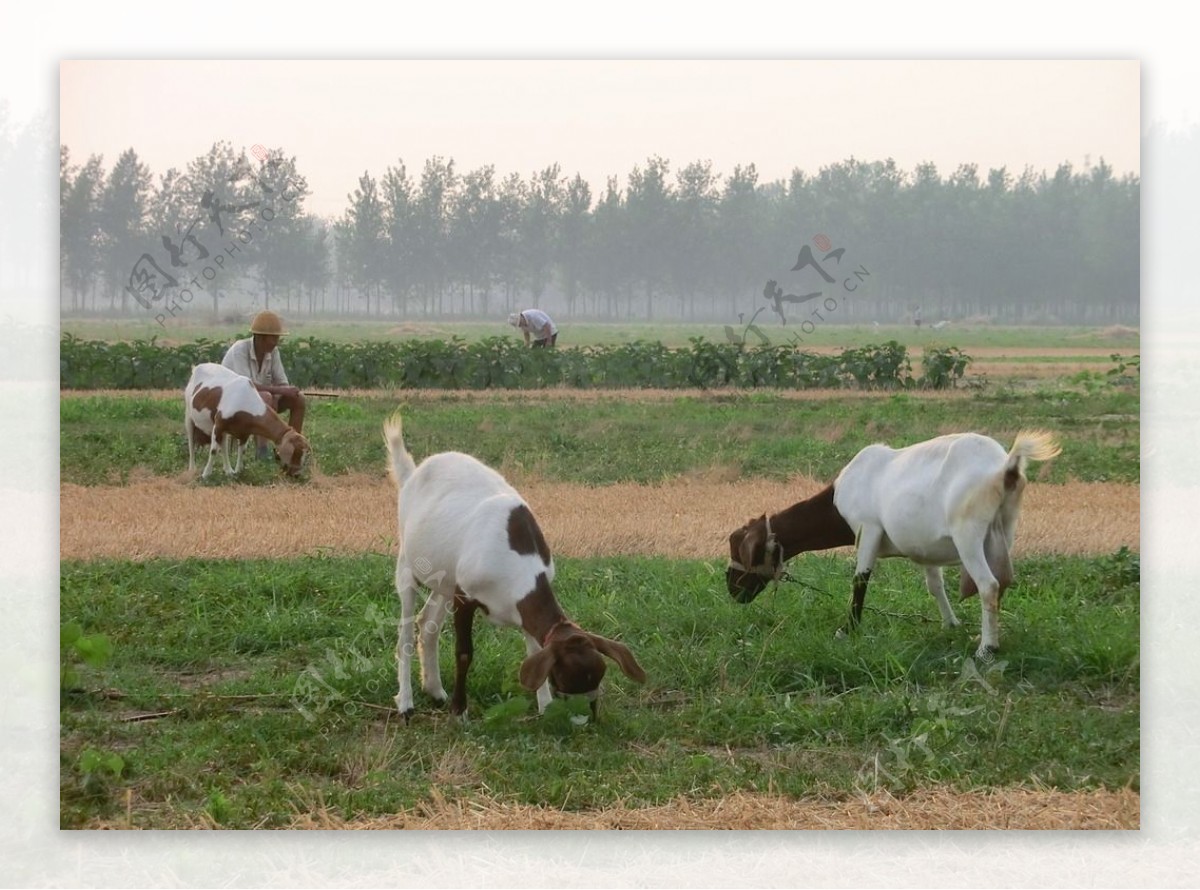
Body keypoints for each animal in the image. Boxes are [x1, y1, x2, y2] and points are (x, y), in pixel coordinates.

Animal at [384, 415, 648, 719]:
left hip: (445, 576)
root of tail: (412, 474)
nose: (588, 719)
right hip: (407, 562)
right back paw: (405, 702)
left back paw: (435, 691)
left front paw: (544, 707)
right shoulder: (465, 594)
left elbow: (533, 648)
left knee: (427, 624)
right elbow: (464, 653)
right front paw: (459, 712)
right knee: (405, 629)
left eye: (599, 677)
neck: (516, 568)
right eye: (566, 680)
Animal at [724, 431, 1065, 657]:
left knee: (989, 585)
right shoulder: (926, 551)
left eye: (741, 549)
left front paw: (847, 630)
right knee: (1001, 582)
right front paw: (950, 624)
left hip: (969, 534)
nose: (732, 589)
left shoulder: (868, 530)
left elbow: (860, 579)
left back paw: (986, 648)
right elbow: (934, 585)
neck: (839, 498)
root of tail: (1005, 467)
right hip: (1005, 528)